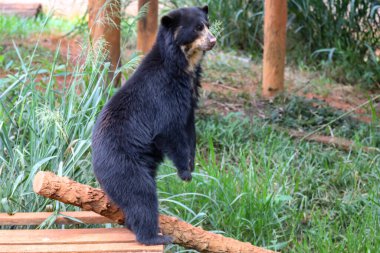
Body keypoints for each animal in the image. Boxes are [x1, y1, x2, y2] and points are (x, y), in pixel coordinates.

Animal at [91, 5, 215, 245]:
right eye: (197, 28)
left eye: (207, 24)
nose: (213, 40)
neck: (183, 65)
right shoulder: (163, 93)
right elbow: (169, 131)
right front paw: (185, 173)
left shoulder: (190, 95)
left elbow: (189, 128)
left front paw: (191, 164)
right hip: (123, 163)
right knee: (141, 195)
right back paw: (155, 237)